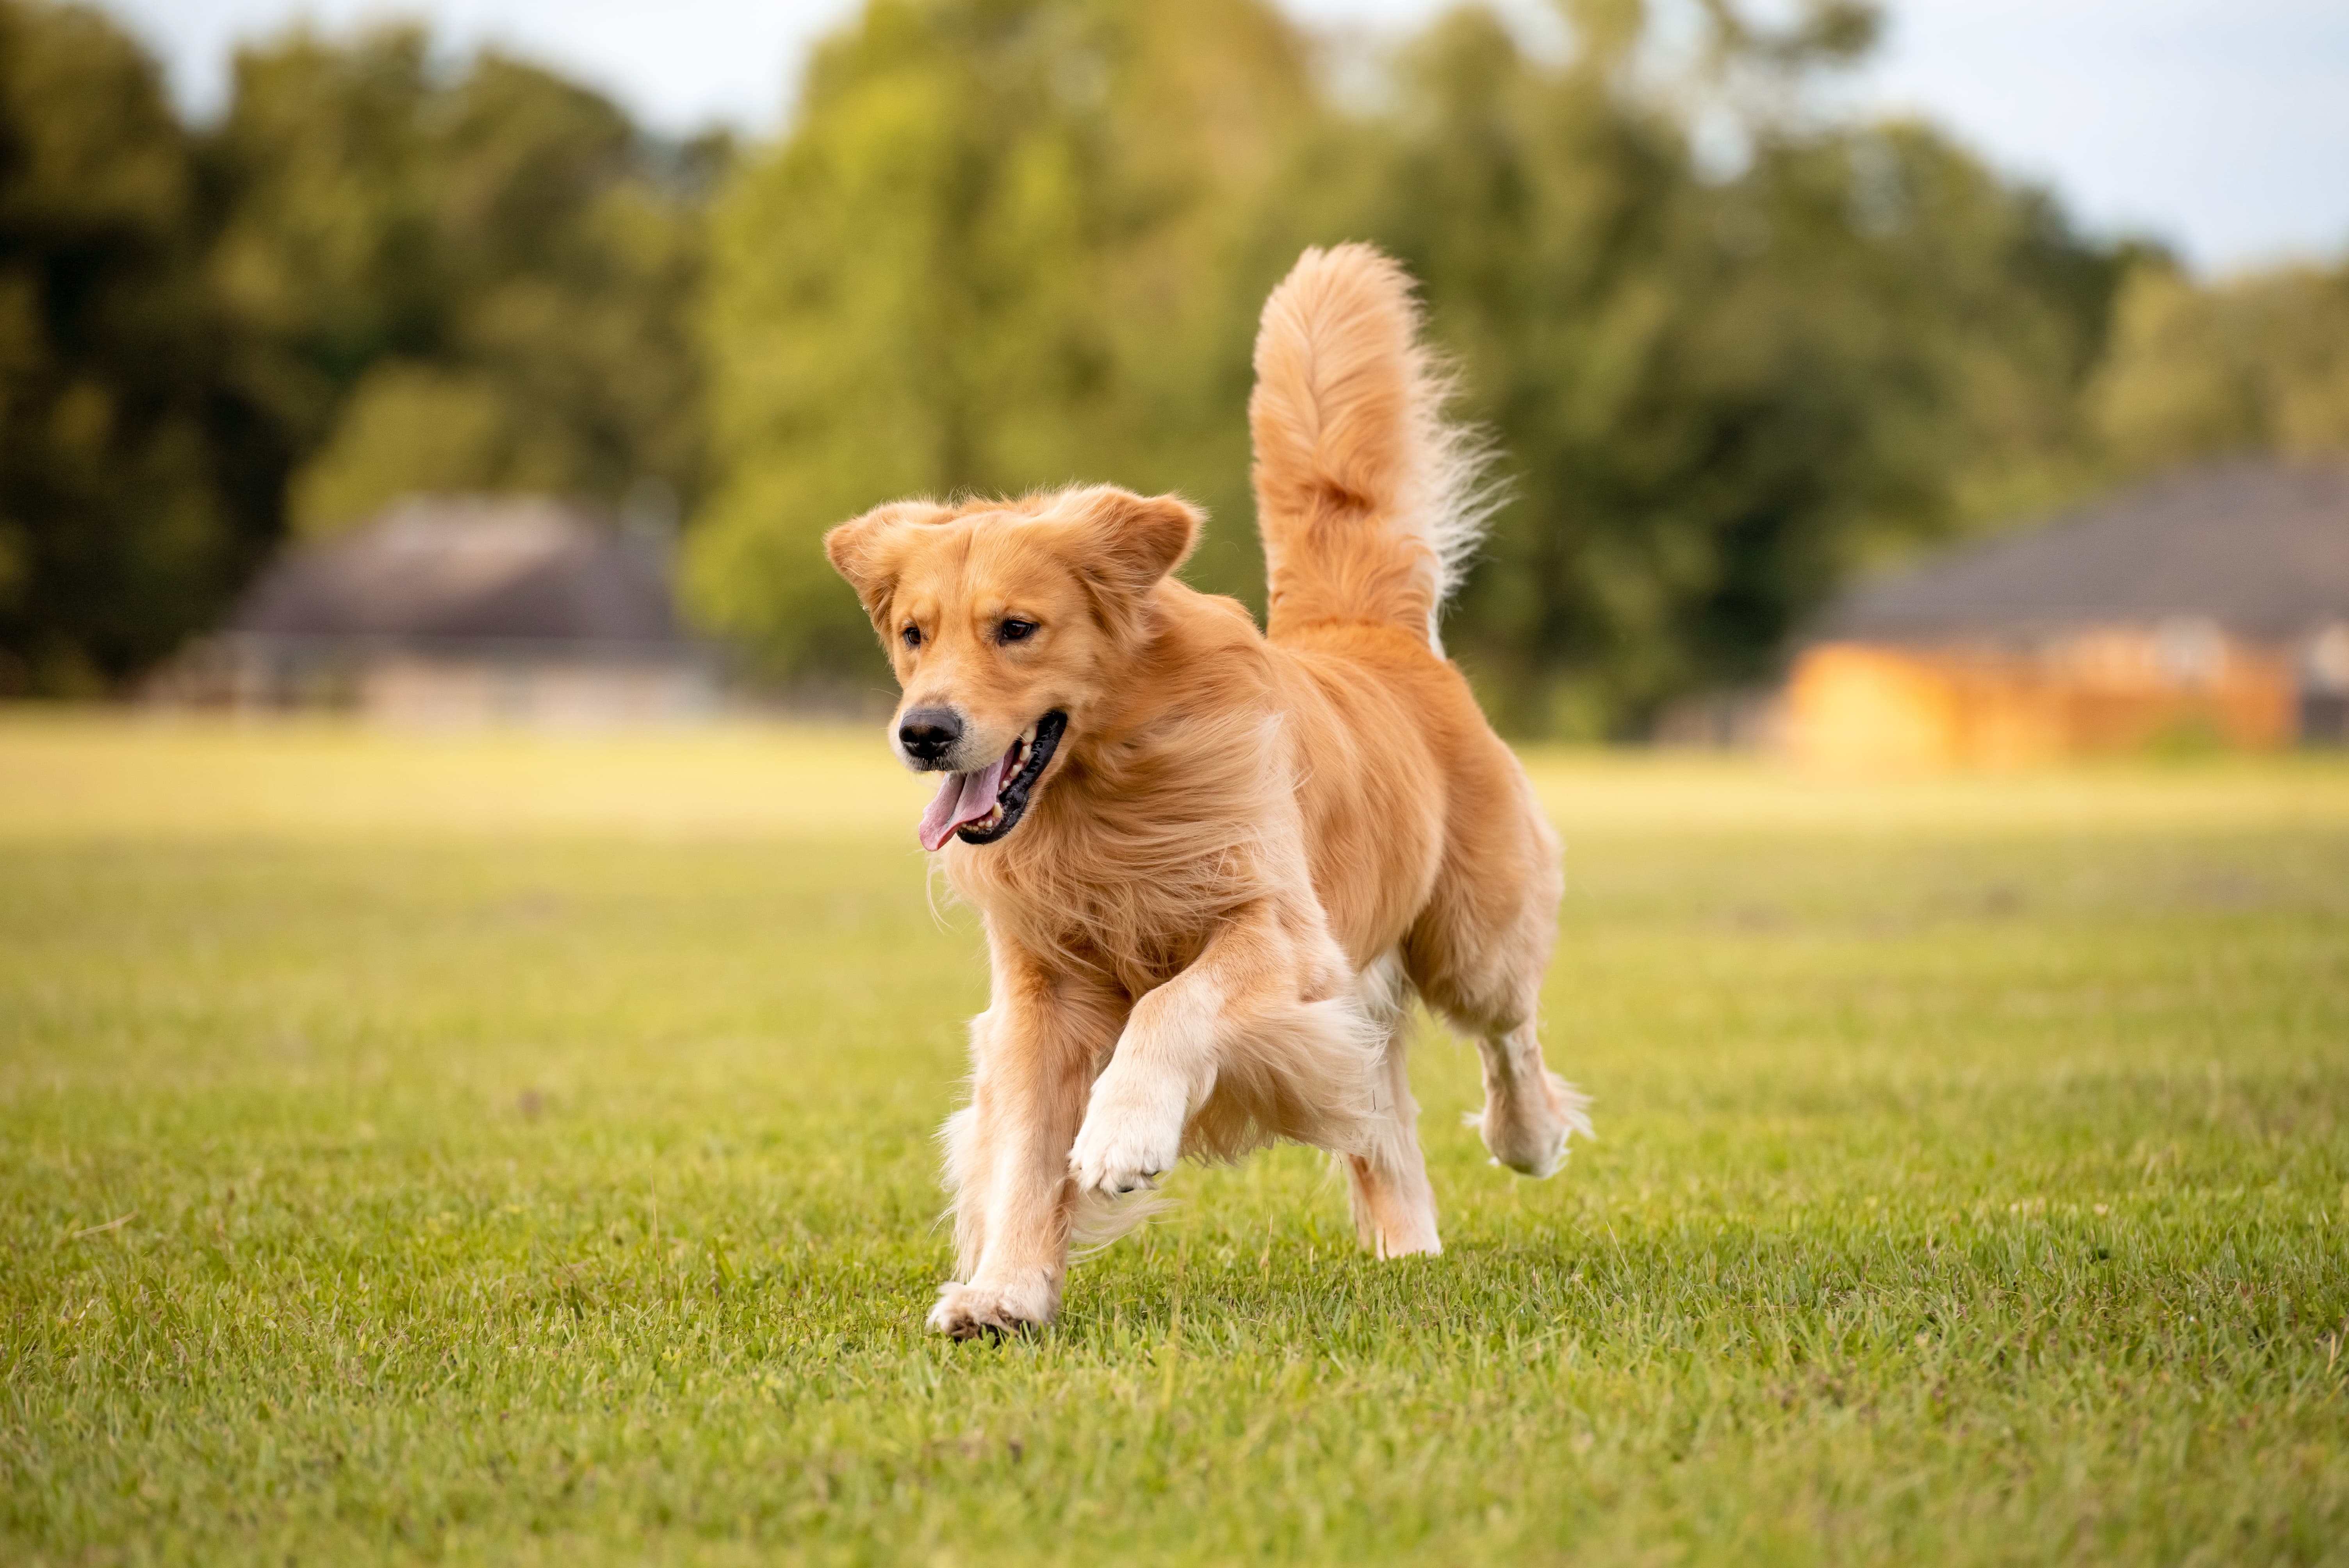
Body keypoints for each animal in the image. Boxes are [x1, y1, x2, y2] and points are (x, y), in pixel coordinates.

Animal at [817, 245, 1588, 1333]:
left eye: (1016, 628)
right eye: (913, 633)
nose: (922, 731)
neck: (1103, 796)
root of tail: (1367, 630)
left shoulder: (1283, 930)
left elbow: (1171, 1005)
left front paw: (1124, 1130)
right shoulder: (1040, 989)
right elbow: (1023, 1148)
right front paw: (1006, 1287)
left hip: (1471, 934)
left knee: (1508, 1029)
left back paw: (1526, 1136)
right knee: (1384, 1113)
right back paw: (1407, 1246)